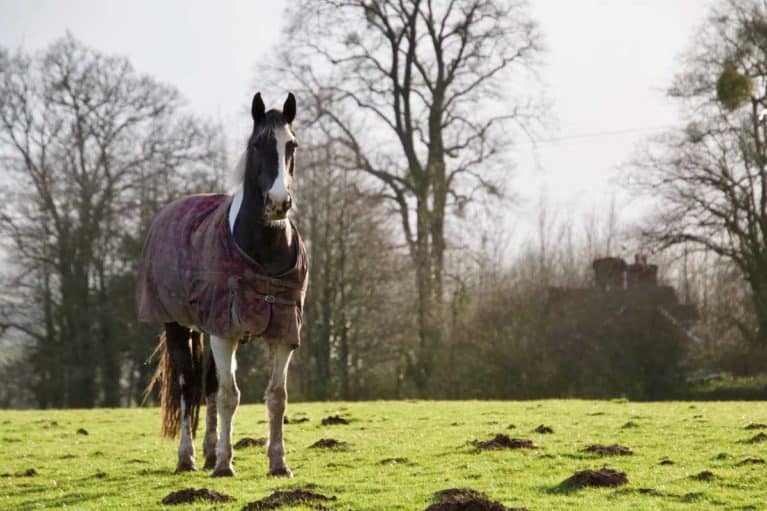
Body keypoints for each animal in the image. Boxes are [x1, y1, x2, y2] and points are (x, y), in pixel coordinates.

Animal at [136, 90, 308, 478]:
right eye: (258, 144)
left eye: (291, 144)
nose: (279, 203)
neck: (263, 248)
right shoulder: (225, 330)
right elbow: (231, 395)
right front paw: (226, 465)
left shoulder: (282, 329)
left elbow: (276, 397)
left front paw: (278, 463)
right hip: (179, 327)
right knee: (190, 388)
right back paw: (188, 457)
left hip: (210, 330)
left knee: (210, 387)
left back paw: (210, 453)